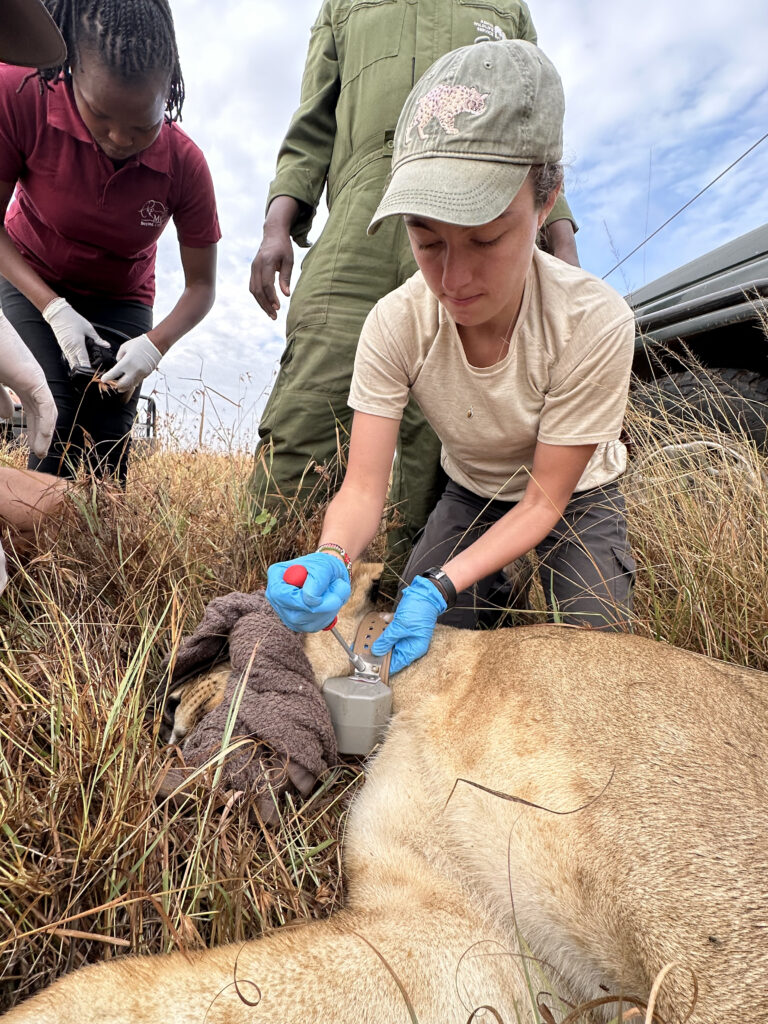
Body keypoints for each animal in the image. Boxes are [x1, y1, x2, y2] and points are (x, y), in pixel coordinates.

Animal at [3, 565, 767, 1023]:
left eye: (221, 645)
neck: (424, 689)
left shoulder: (715, 941)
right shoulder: (454, 928)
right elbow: (159, 990)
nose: (164, 705)